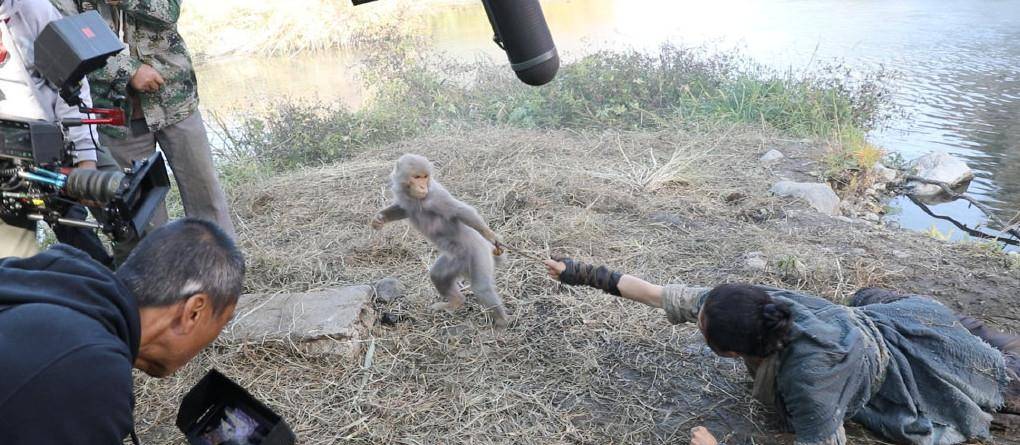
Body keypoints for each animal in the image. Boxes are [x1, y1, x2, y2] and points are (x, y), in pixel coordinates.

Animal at [371, 155, 510, 326]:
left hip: (479, 254)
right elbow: (401, 209)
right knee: (437, 275)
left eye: (425, 177)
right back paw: (456, 302)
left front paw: (489, 234)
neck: (416, 198)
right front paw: (379, 219)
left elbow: (461, 211)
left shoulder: (436, 197)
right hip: (455, 260)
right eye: (417, 177)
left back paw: (502, 322)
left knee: (481, 288)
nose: (423, 187)